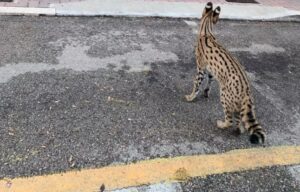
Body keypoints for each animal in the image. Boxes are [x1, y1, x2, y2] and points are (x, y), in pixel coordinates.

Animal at [185, 1, 264, 144]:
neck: (207, 31)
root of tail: (247, 91)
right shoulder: (210, 70)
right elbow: (209, 81)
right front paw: (206, 92)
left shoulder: (200, 68)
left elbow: (196, 84)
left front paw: (191, 96)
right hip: (236, 103)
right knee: (238, 120)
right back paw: (239, 129)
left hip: (224, 95)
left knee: (230, 120)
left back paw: (221, 124)